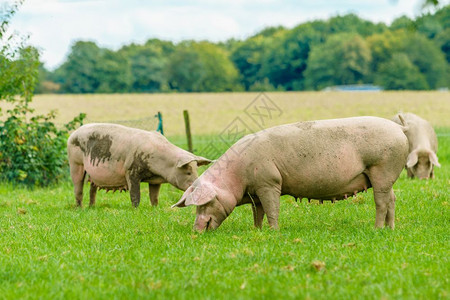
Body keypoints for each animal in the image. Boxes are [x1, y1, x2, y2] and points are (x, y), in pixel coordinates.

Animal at [67, 123, 212, 207]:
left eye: (196, 171)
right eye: (188, 172)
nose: (201, 187)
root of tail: (72, 134)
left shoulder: (155, 180)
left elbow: (154, 196)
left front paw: (155, 208)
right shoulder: (131, 171)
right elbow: (135, 194)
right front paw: (135, 209)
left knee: (92, 189)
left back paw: (92, 207)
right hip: (75, 163)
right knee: (78, 188)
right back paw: (80, 208)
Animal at [174, 116, 410, 231]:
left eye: (205, 203)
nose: (196, 230)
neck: (238, 176)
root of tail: (400, 130)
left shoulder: (269, 182)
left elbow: (272, 208)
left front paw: (274, 231)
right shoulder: (255, 191)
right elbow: (257, 212)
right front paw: (257, 230)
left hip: (382, 167)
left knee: (381, 201)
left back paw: (376, 229)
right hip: (386, 176)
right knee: (392, 199)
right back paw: (390, 228)